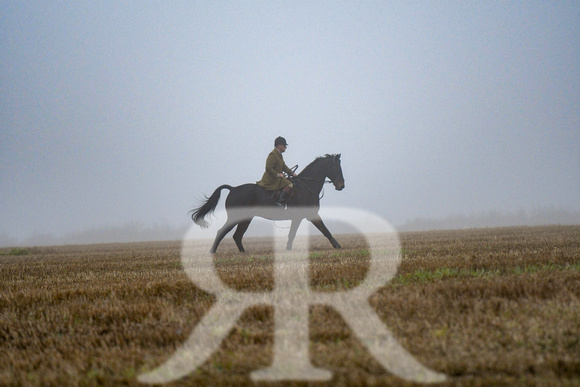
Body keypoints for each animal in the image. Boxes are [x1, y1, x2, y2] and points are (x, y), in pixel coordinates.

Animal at [190, 155, 344, 255]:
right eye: (337, 167)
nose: (341, 185)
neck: (306, 186)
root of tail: (233, 189)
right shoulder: (305, 216)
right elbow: (314, 231)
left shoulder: (308, 215)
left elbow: (320, 231)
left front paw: (338, 246)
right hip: (235, 218)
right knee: (222, 232)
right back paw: (212, 251)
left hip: (246, 219)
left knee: (237, 236)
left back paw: (243, 253)